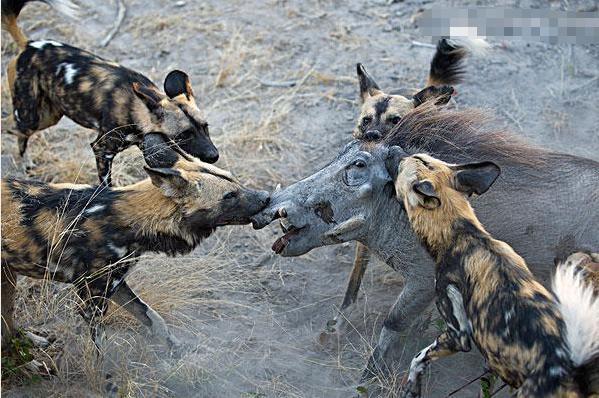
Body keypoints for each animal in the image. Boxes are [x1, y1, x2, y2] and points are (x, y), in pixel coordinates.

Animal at [0, 138, 268, 352]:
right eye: (229, 196)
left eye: (235, 180)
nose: (266, 197)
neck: (125, 220)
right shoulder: (91, 303)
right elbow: (101, 355)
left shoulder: (117, 286)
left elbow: (154, 319)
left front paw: (176, 351)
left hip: (8, 278)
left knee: (7, 327)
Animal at [2, 0, 218, 186]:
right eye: (185, 134)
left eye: (205, 127)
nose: (214, 155)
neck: (138, 109)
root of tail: (29, 45)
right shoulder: (101, 149)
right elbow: (107, 185)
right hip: (32, 117)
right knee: (14, 129)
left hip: (50, 115)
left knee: (17, 131)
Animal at [396, 153, 596, 398]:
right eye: (422, 158)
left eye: (402, 167)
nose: (398, 153)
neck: (460, 232)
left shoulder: (457, 334)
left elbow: (418, 358)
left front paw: (411, 387)